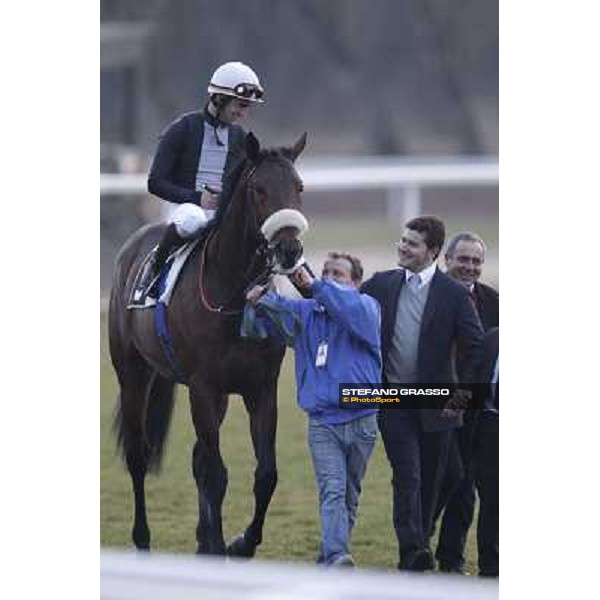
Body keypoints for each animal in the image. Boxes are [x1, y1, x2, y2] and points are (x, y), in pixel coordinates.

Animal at [109, 132, 310, 556]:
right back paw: (143, 539)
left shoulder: (260, 389)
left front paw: (241, 542)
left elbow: (265, 473)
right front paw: (220, 544)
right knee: (138, 454)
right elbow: (216, 473)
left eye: (299, 186)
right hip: (133, 373)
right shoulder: (203, 387)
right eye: (258, 189)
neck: (233, 296)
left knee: (197, 457)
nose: (289, 250)